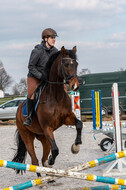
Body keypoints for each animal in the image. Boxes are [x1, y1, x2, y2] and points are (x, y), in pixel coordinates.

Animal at [11, 46, 82, 177]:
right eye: (65, 64)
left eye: (76, 64)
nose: (75, 86)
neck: (56, 96)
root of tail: (18, 110)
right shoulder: (47, 127)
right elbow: (55, 150)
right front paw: (51, 161)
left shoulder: (67, 118)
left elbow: (79, 124)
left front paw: (76, 147)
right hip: (27, 136)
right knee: (35, 160)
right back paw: (40, 177)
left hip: (43, 138)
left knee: (43, 158)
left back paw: (49, 176)